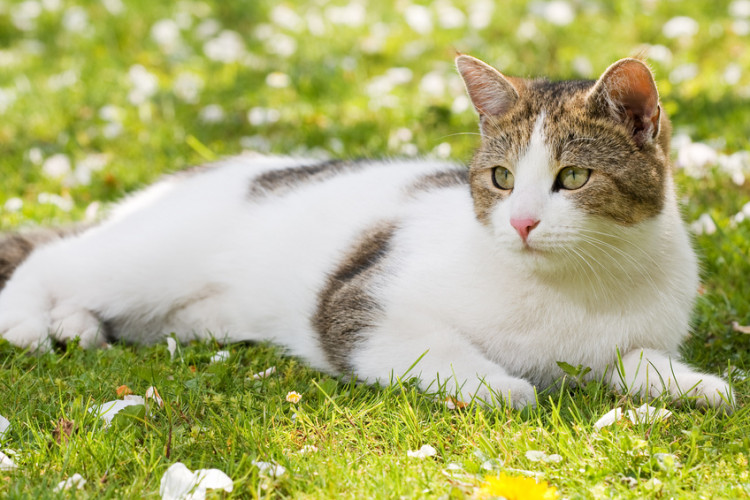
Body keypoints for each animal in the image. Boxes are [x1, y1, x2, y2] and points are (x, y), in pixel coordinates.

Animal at [0, 53, 736, 410]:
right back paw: (33, 322)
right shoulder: (358, 302)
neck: (576, 285)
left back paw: (77, 325)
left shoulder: (624, 336)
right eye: (501, 178)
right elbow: (433, 346)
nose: (523, 222)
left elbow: (634, 359)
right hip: (149, 258)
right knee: (53, 261)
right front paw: (501, 385)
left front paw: (693, 384)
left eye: (574, 177)